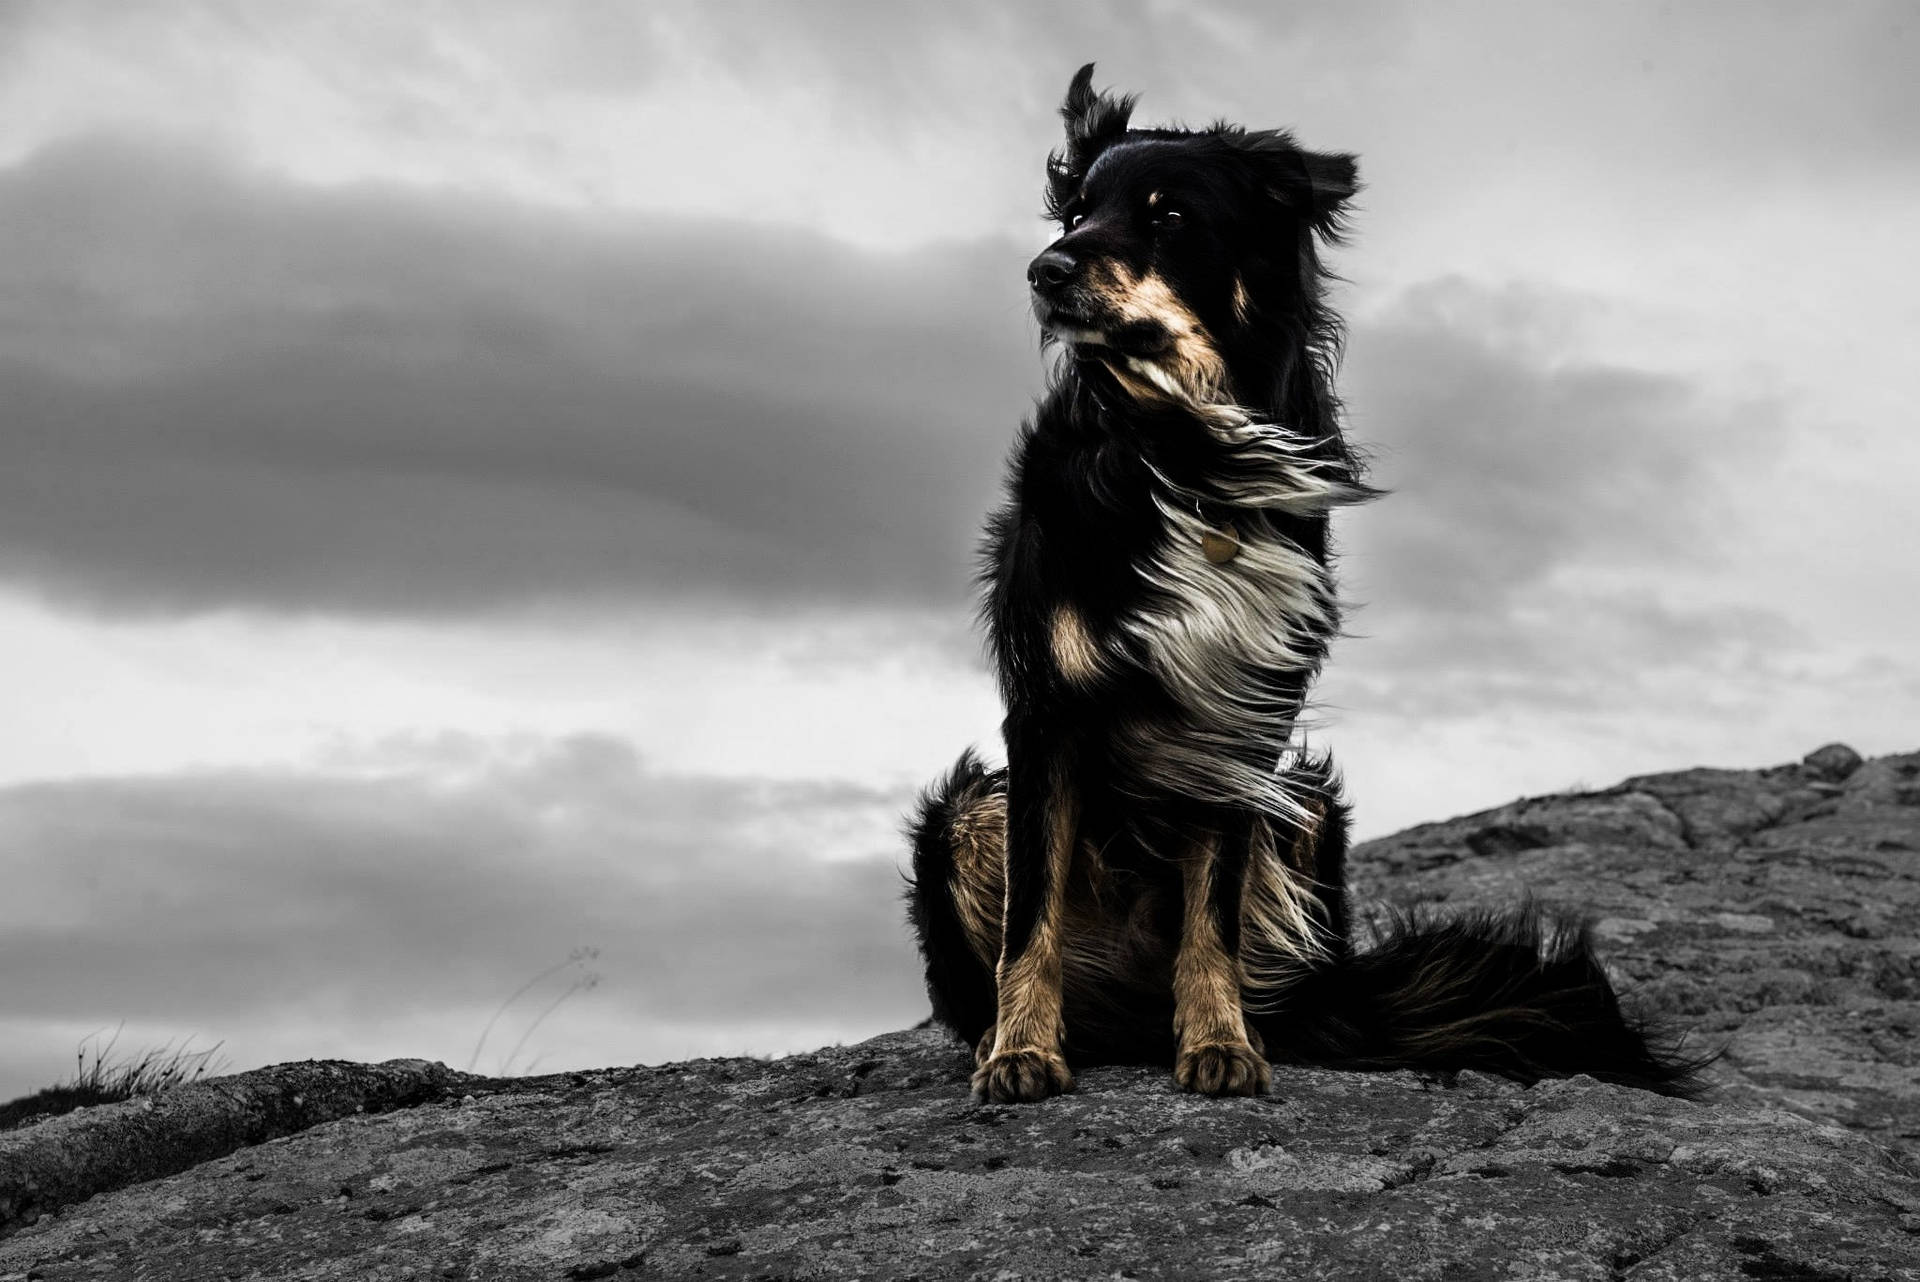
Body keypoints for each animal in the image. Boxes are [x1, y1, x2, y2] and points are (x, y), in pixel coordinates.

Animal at [906, 65, 1704, 1105]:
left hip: (1305, 801)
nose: (1044, 270)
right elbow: (1028, 921)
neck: (1184, 451)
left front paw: (1219, 1044)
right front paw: (1020, 1053)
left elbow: (1210, 912)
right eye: (1076, 213)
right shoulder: (1045, 710)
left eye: (1167, 216)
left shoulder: (1240, 717)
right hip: (970, 810)